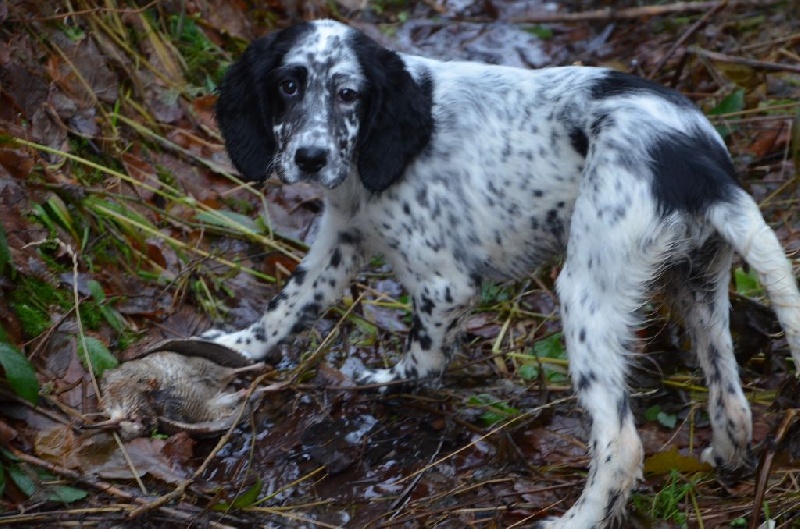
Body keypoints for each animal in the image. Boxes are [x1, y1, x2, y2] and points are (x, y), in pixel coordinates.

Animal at [202, 19, 800, 524]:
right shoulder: (340, 237)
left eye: (348, 94)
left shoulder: (445, 284)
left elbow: (421, 359)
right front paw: (232, 347)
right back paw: (726, 456)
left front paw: (382, 384)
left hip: (587, 293)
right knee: (732, 400)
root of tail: (699, 162)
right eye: (288, 86)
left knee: (622, 443)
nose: (310, 158)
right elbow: (287, 305)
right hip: (697, 283)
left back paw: (575, 520)